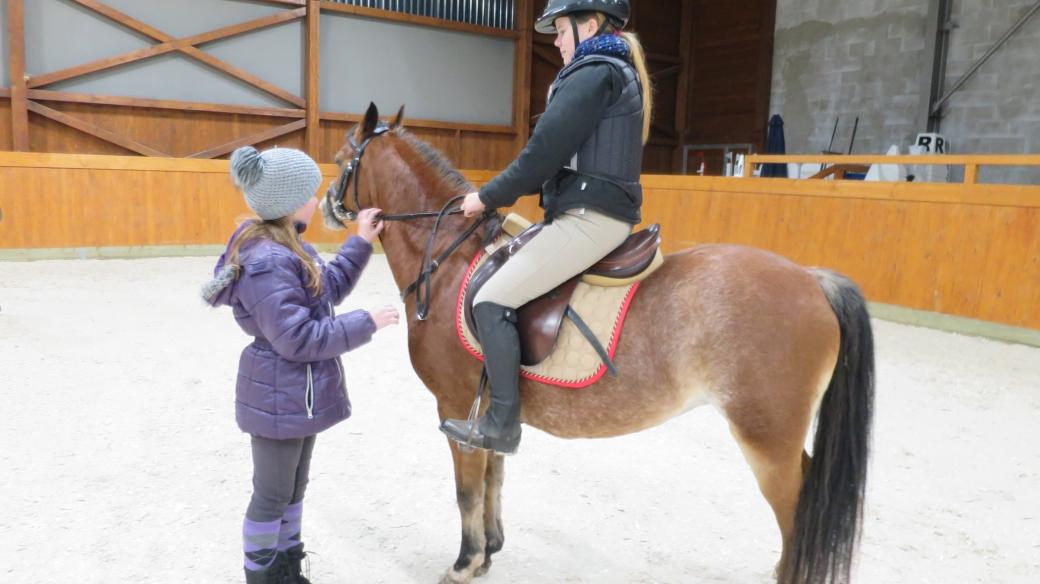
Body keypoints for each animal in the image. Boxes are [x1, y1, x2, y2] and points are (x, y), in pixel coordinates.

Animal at [320, 104, 873, 581]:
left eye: (345, 157)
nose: (326, 205)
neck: (452, 261)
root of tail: (812, 280)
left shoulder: (456, 407)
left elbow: (467, 491)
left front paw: (465, 562)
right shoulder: (487, 411)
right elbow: (495, 475)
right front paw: (491, 550)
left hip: (766, 438)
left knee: (796, 511)